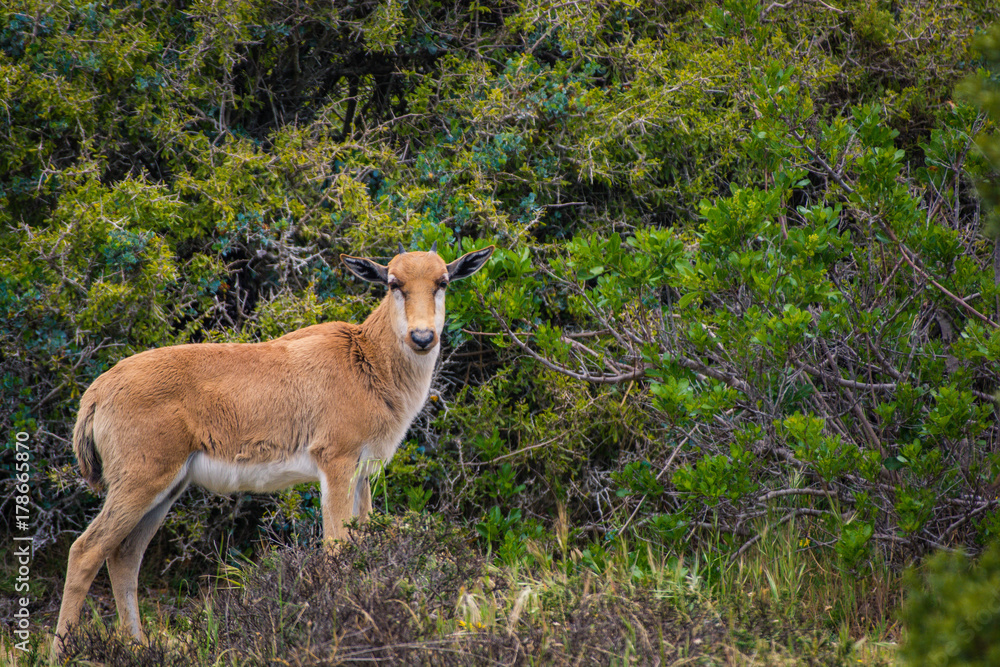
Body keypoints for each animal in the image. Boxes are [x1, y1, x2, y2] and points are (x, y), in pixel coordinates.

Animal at [53, 243, 492, 656]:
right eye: (393, 282)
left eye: (442, 281)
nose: (422, 338)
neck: (365, 360)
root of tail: (97, 392)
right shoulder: (335, 463)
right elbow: (335, 549)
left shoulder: (362, 475)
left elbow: (361, 544)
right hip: (139, 485)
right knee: (85, 551)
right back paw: (62, 651)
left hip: (166, 491)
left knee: (124, 557)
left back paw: (139, 646)